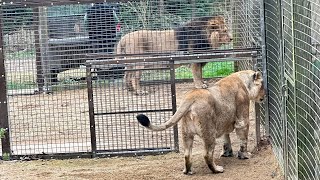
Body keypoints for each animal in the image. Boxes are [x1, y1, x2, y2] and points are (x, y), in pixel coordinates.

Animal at [136, 70, 266, 174]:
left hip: (186, 133)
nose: (264, 96)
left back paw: (188, 171)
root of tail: (190, 97)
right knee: (207, 154)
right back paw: (217, 169)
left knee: (187, 154)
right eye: (262, 86)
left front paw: (227, 153)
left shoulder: (224, 122)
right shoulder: (242, 118)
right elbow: (243, 139)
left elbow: (226, 138)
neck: (243, 80)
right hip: (209, 132)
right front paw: (244, 155)